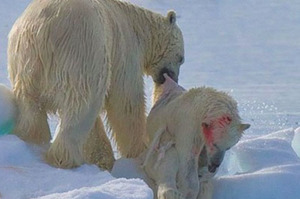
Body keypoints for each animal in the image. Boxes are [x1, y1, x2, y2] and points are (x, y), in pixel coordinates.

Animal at [7, 0, 184, 169]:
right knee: (81, 106)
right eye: (181, 58)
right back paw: (66, 158)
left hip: (24, 61)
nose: (172, 78)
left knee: (30, 107)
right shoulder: (125, 49)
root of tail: (42, 30)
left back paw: (32, 141)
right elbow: (126, 102)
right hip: (81, 52)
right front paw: (139, 150)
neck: (137, 25)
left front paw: (103, 159)